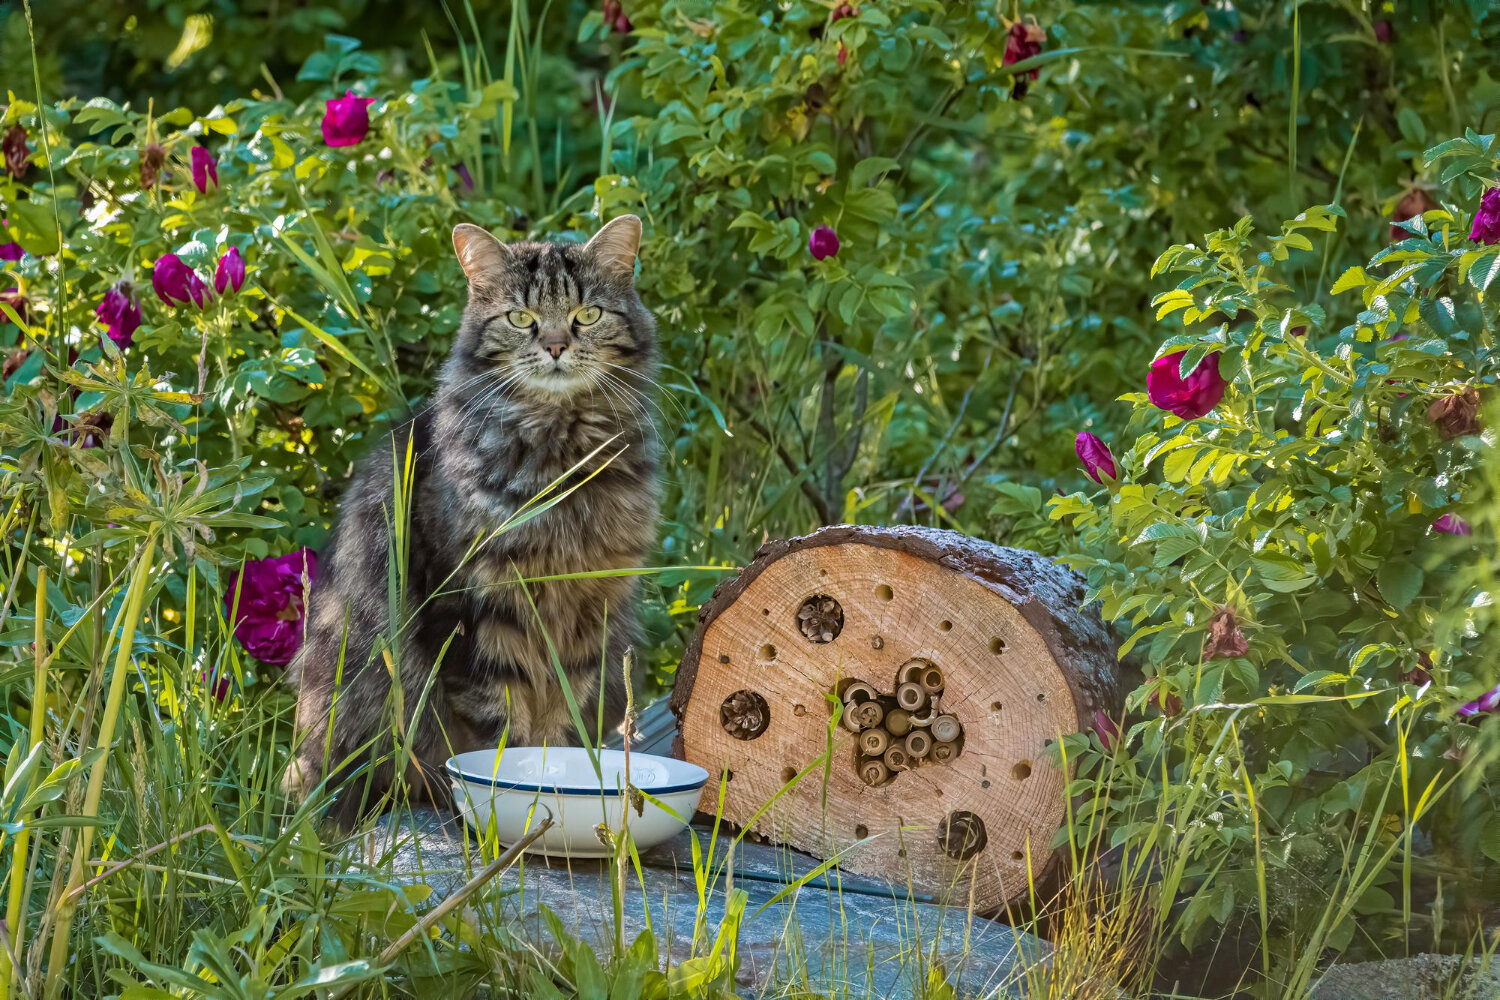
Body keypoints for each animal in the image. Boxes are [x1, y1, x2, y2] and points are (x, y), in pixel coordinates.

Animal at [282, 215, 657, 827]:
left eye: (587, 315)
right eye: (521, 318)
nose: (556, 346)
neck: (562, 462)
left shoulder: (590, 609)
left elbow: (562, 723)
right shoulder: (473, 608)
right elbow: (496, 732)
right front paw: (514, 805)